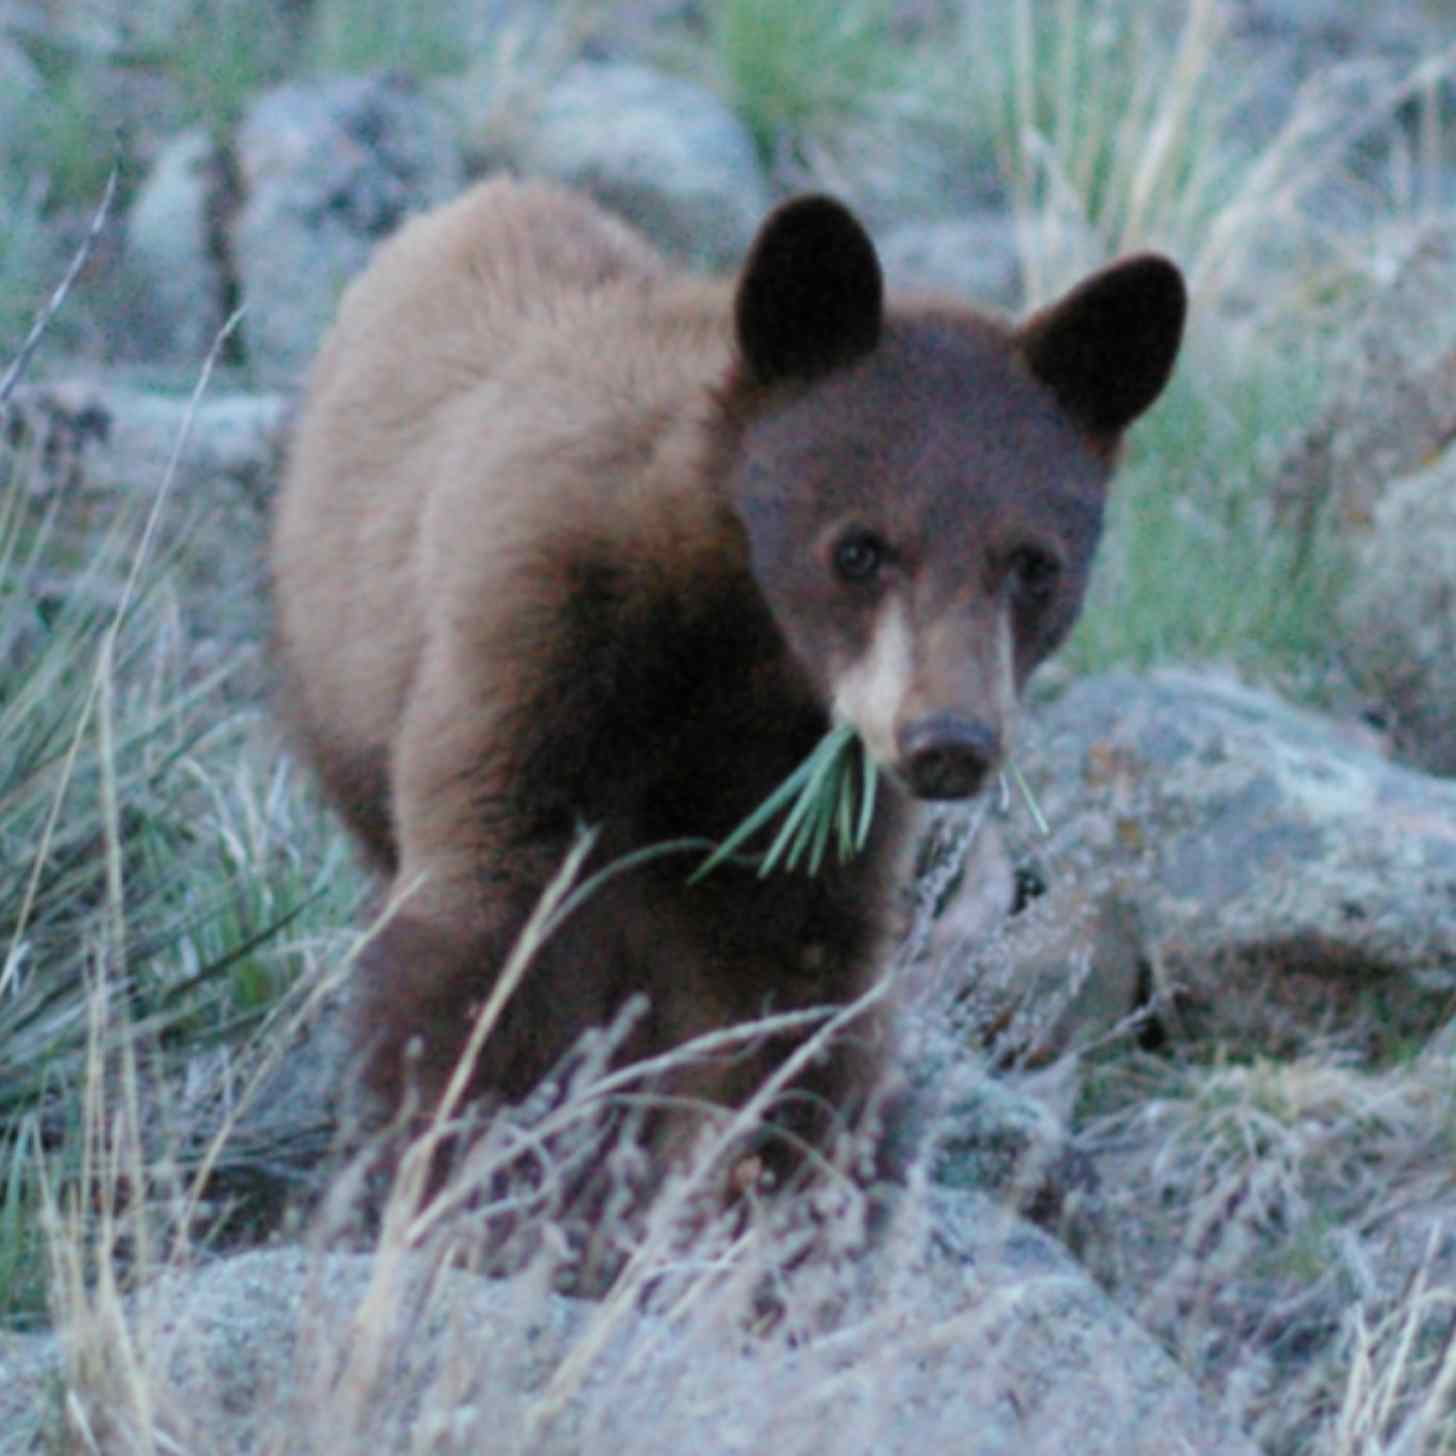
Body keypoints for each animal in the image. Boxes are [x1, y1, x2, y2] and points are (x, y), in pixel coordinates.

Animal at [272, 177, 1185, 1214]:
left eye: (1034, 566)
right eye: (857, 549)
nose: (948, 738)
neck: (739, 646)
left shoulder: (796, 792)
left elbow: (780, 990)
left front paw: (767, 1201)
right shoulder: (532, 647)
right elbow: (492, 925)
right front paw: (474, 1180)